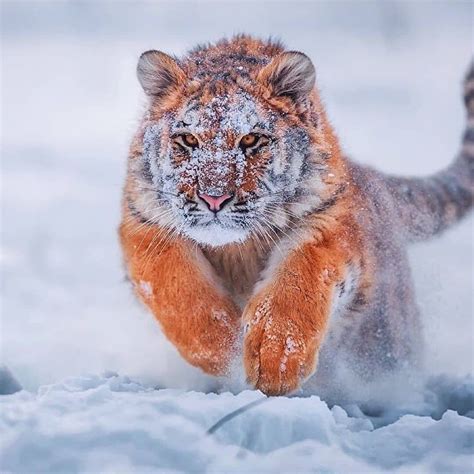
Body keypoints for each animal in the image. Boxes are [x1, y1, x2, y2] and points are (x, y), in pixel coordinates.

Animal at [119, 34, 474, 396]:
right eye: (188, 139)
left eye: (251, 139)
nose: (213, 198)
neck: (237, 249)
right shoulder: (145, 224)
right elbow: (178, 289)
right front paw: (224, 347)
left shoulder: (327, 223)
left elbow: (297, 280)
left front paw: (275, 361)